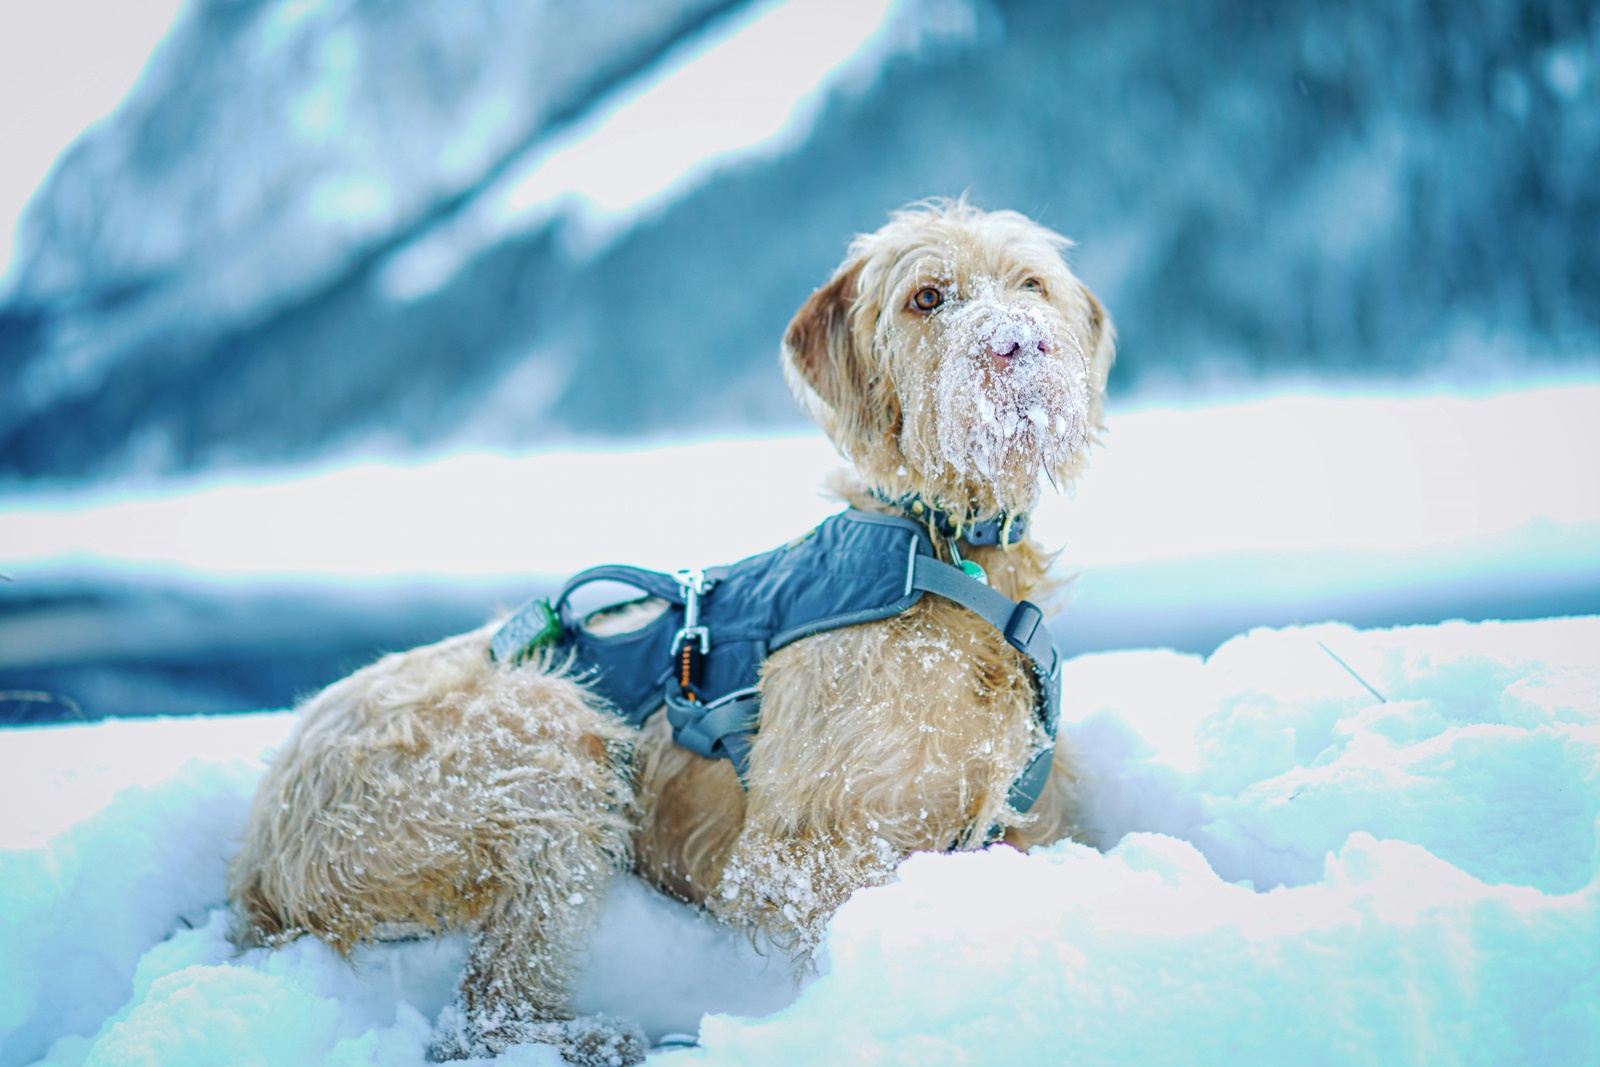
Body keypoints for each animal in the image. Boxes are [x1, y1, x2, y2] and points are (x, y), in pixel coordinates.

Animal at [228, 198, 1113, 1062]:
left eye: (1032, 284)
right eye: (927, 297)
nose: (1018, 342)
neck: (947, 555)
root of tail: (260, 857)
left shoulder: (1026, 816)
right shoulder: (796, 849)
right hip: (550, 750)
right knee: (479, 1012)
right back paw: (596, 1039)